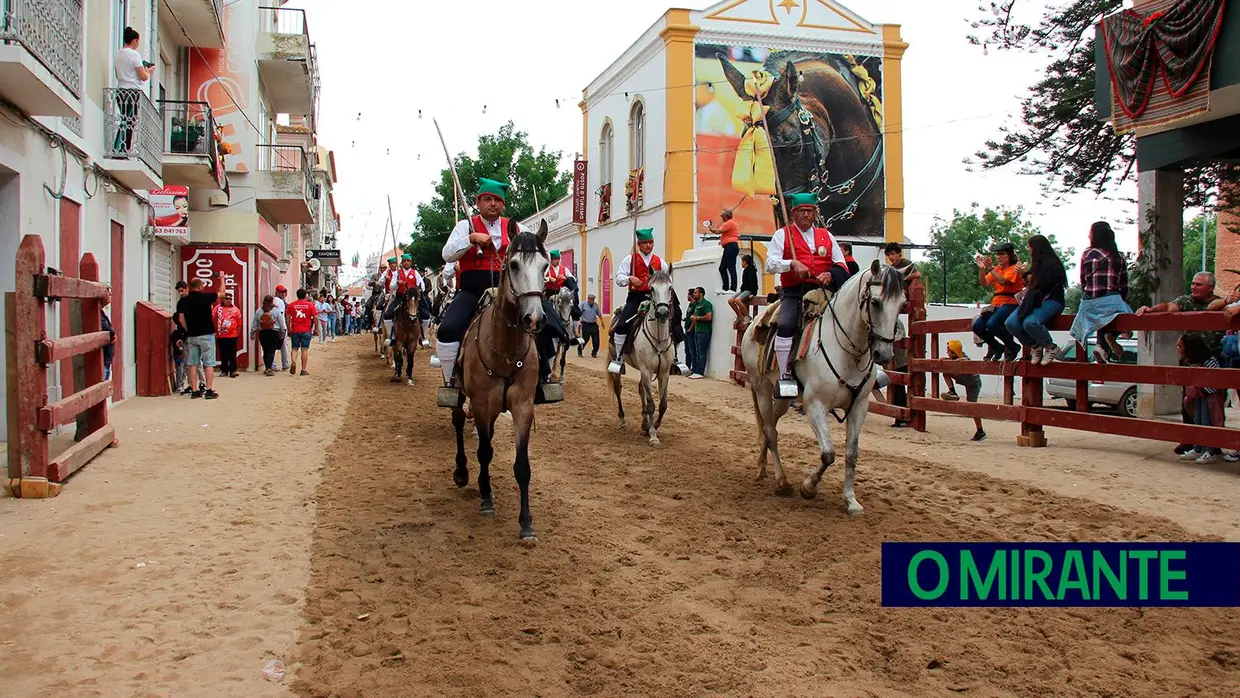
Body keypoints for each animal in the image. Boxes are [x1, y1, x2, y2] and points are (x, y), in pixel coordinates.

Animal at [446, 218, 543, 540]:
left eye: (546, 265)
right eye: (513, 264)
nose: (534, 318)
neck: (505, 349)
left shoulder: (523, 406)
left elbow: (522, 465)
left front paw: (526, 524)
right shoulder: (480, 403)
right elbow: (485, 451)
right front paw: (486, 498)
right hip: (463, 397)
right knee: (458, 423)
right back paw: (463, 472)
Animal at [605, 267, 674, 448]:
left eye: (670, 288)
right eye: (652, 289)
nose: (662, 313)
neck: (658, 339)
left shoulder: (663, 373)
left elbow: (663, 404)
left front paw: (652, 426)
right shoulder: (647, 371)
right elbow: (651, 404)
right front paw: (653, 435)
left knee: (640, 388)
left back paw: (644, 422)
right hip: (618, 362)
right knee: (618, 389)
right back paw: (622, 420)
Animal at [739, 259, 907, 515]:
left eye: (901, 304)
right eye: (876, 302)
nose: (884, 354)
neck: (847, 352)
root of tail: (753, 325)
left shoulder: (859, 407)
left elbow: (851, 454)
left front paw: (851, 500)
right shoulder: (815, 405)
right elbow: (828, 454)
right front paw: (808, 487)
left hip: (782, 399)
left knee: (771, 428)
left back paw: (762, 467)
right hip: (762, 391)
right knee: (770, 432)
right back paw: (782, 481)